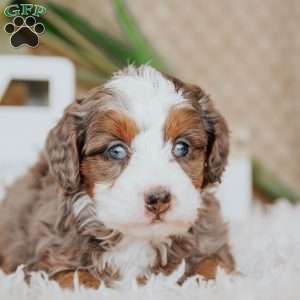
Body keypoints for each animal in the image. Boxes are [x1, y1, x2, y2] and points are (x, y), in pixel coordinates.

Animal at [0, 66, 234, 288]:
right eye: (116, 151)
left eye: (181, 147)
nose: (158, 199)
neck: (137, 239)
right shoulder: (49, 259)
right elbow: (77, 278)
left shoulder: (211, 242)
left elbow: (213, 266)